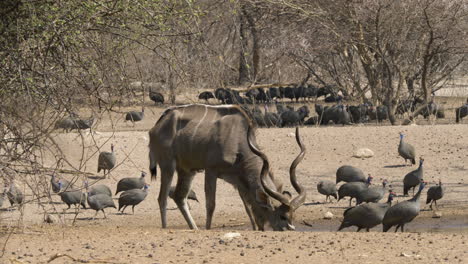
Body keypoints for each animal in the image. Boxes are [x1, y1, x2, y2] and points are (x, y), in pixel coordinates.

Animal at [149, 104, 308, 230]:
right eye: (282, 216)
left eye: (293, 216)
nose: (288, 230)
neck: (237, 138)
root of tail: (156, 126)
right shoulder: (211, 170)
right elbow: (211, 205)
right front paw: (208, 229)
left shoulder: (239, 180)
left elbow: (247, 207)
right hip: (168, 166)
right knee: (162, 198)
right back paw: (165, 227)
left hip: (187, 170)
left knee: (179, 196)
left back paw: (194, 228)